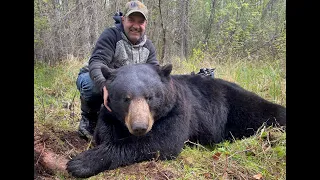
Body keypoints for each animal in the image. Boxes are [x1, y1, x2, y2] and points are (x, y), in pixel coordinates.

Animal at [66, 63, 286, 177]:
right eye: (125, 98)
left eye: (150, 97)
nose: (139, 127)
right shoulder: (109, 112)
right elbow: (104, 131)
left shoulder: (178, 110)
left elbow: (163, 141)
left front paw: (80, 163)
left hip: (237, 106)